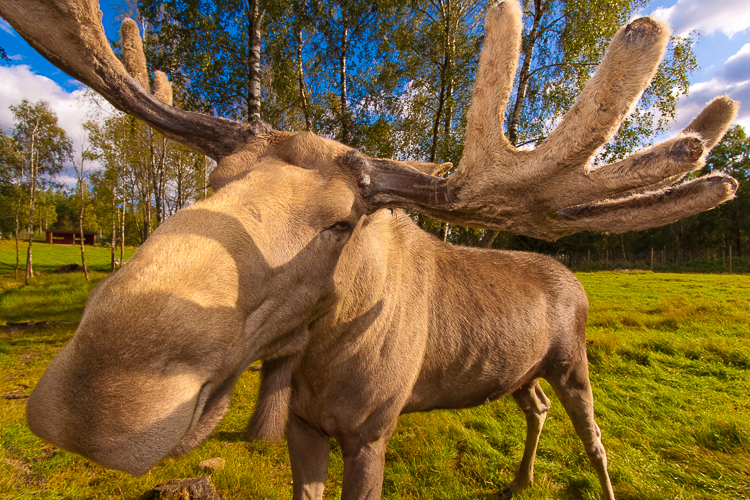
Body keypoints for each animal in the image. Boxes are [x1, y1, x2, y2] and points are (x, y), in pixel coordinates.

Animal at [1, 1, 739, 499]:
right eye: (213, 182)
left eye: (342, 223)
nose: (94, 404)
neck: (321, 363)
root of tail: (574, 278)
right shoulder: (301, 426)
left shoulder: (372, 432)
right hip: (519, 370)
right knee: (535, 408)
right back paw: (520, 479)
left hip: (573, 362)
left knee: (594, 438)